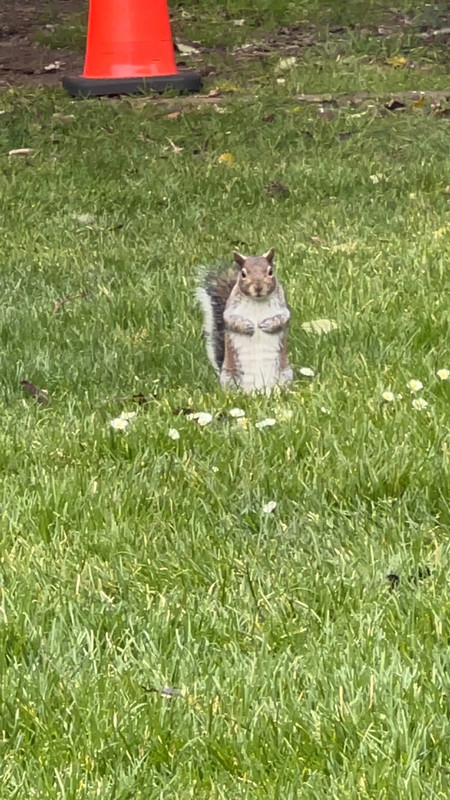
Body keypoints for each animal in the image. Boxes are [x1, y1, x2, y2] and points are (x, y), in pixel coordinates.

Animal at [196, 247, 294, 390]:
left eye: (270, 272)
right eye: (243, 274)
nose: (258, 287)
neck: (257, 301)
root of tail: (258, 391)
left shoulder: (282, 305)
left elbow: (284, 317)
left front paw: (269, 324)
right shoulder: (231, 307)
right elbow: (230, 318)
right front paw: (247, 326)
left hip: (285, 374)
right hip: (230, 377)